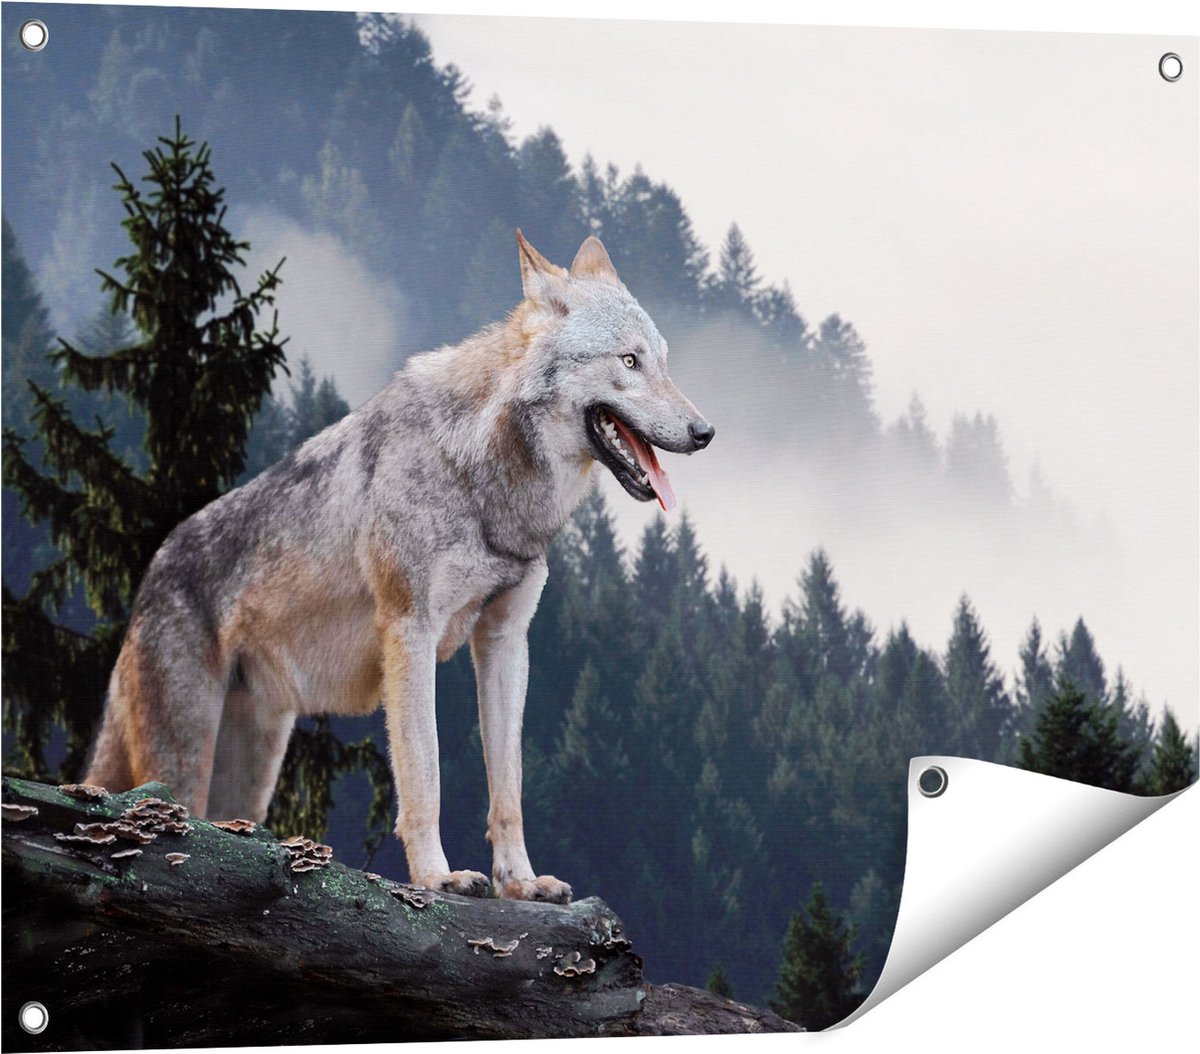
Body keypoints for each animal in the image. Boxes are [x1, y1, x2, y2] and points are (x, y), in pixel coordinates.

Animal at [86, 231, 714, 902]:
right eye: (629, 361)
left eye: (664, 362)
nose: (706, 431)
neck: (483, 476)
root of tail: (150, 574)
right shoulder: (410, 632)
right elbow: (425, 774)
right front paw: (438, 877)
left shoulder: (505, 641)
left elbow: (509, 789)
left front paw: (520, 883)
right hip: (183, 760)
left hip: (250, 774)